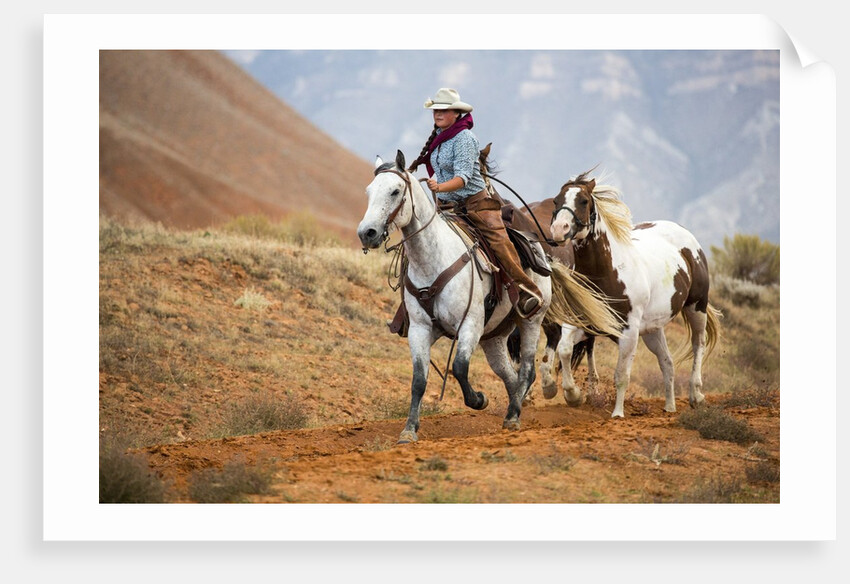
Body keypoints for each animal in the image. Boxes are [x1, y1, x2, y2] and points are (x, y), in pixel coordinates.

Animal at [357, 151, 621, 443]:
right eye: (369, 191)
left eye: (395, 191)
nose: (367, 233)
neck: (433, 259)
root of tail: (542, 252)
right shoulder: (420, 328)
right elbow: (419, 380)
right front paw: (409, 430)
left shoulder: (470, 324)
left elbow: (460, 367)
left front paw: (478, 400)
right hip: (493, 336)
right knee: (509, 374)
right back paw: (516, 405)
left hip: (531, 321)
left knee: (527, 369)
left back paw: (515, 415)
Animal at [548, 169, 722, 418]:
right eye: (556, 201)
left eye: (583, 201)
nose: (558, 230)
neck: (607, 272)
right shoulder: (585, 324)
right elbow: (563, 350)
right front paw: (573, 396)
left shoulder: (628, 332)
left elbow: (621, 375)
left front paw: (618, 413)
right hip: (652, 329)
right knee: (667, 361)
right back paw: (670, 406)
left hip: (696, 307)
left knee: (698, 344)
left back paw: (696, 396)